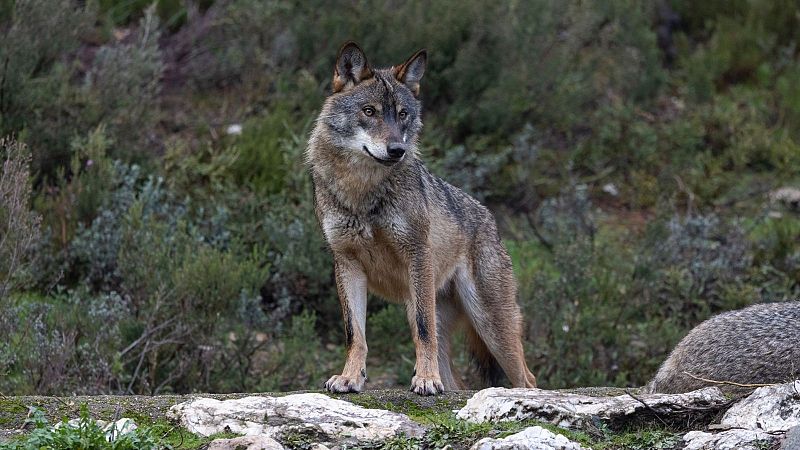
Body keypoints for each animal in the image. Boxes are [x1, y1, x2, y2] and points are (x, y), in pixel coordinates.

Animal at [305, 42, 537, 395]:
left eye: (402, 114)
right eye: (369, 111)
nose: (397, 150)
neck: (362, 191)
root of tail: (489, 217)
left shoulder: (417, 255)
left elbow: (424, 331)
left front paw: (426, 379)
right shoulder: (346, 263)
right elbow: (354, 333)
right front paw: (350, 377)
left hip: (490, 325)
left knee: (527, 378)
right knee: (455, 381)